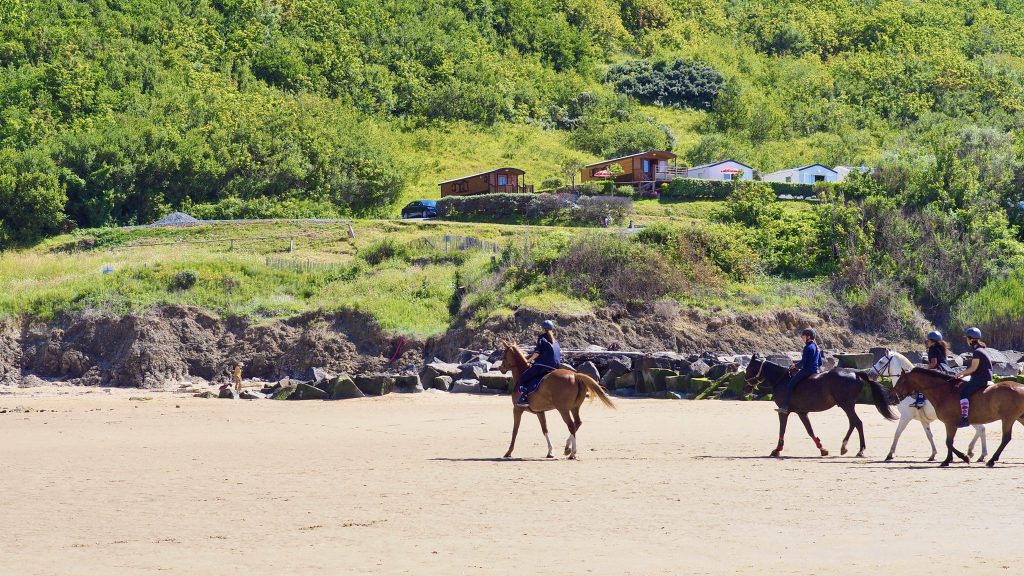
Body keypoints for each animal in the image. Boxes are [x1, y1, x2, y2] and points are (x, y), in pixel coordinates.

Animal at [745, 356, 897, 455]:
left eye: (749, 368)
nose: (746, 388)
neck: (782, 379)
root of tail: (854, 372)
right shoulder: (802, 412)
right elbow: (810, 430)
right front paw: (822, 448)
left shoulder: (784, 412)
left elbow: (782, 430)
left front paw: (777, 450)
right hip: (847, 405)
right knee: (854, 423)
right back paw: (845, 447)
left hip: (846, 405)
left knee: (857, 423)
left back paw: (860, 450)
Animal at [892, 366, 1024, 467]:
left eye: (902, 380)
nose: (893, 396)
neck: (944, 391)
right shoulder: (947, 423)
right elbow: (948, 442)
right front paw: (948, 459)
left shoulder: (950, 423)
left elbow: (948, 442)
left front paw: (962, 458)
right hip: (1019, 418)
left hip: (1008, 418)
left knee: (1005, 438)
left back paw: (991, 460)